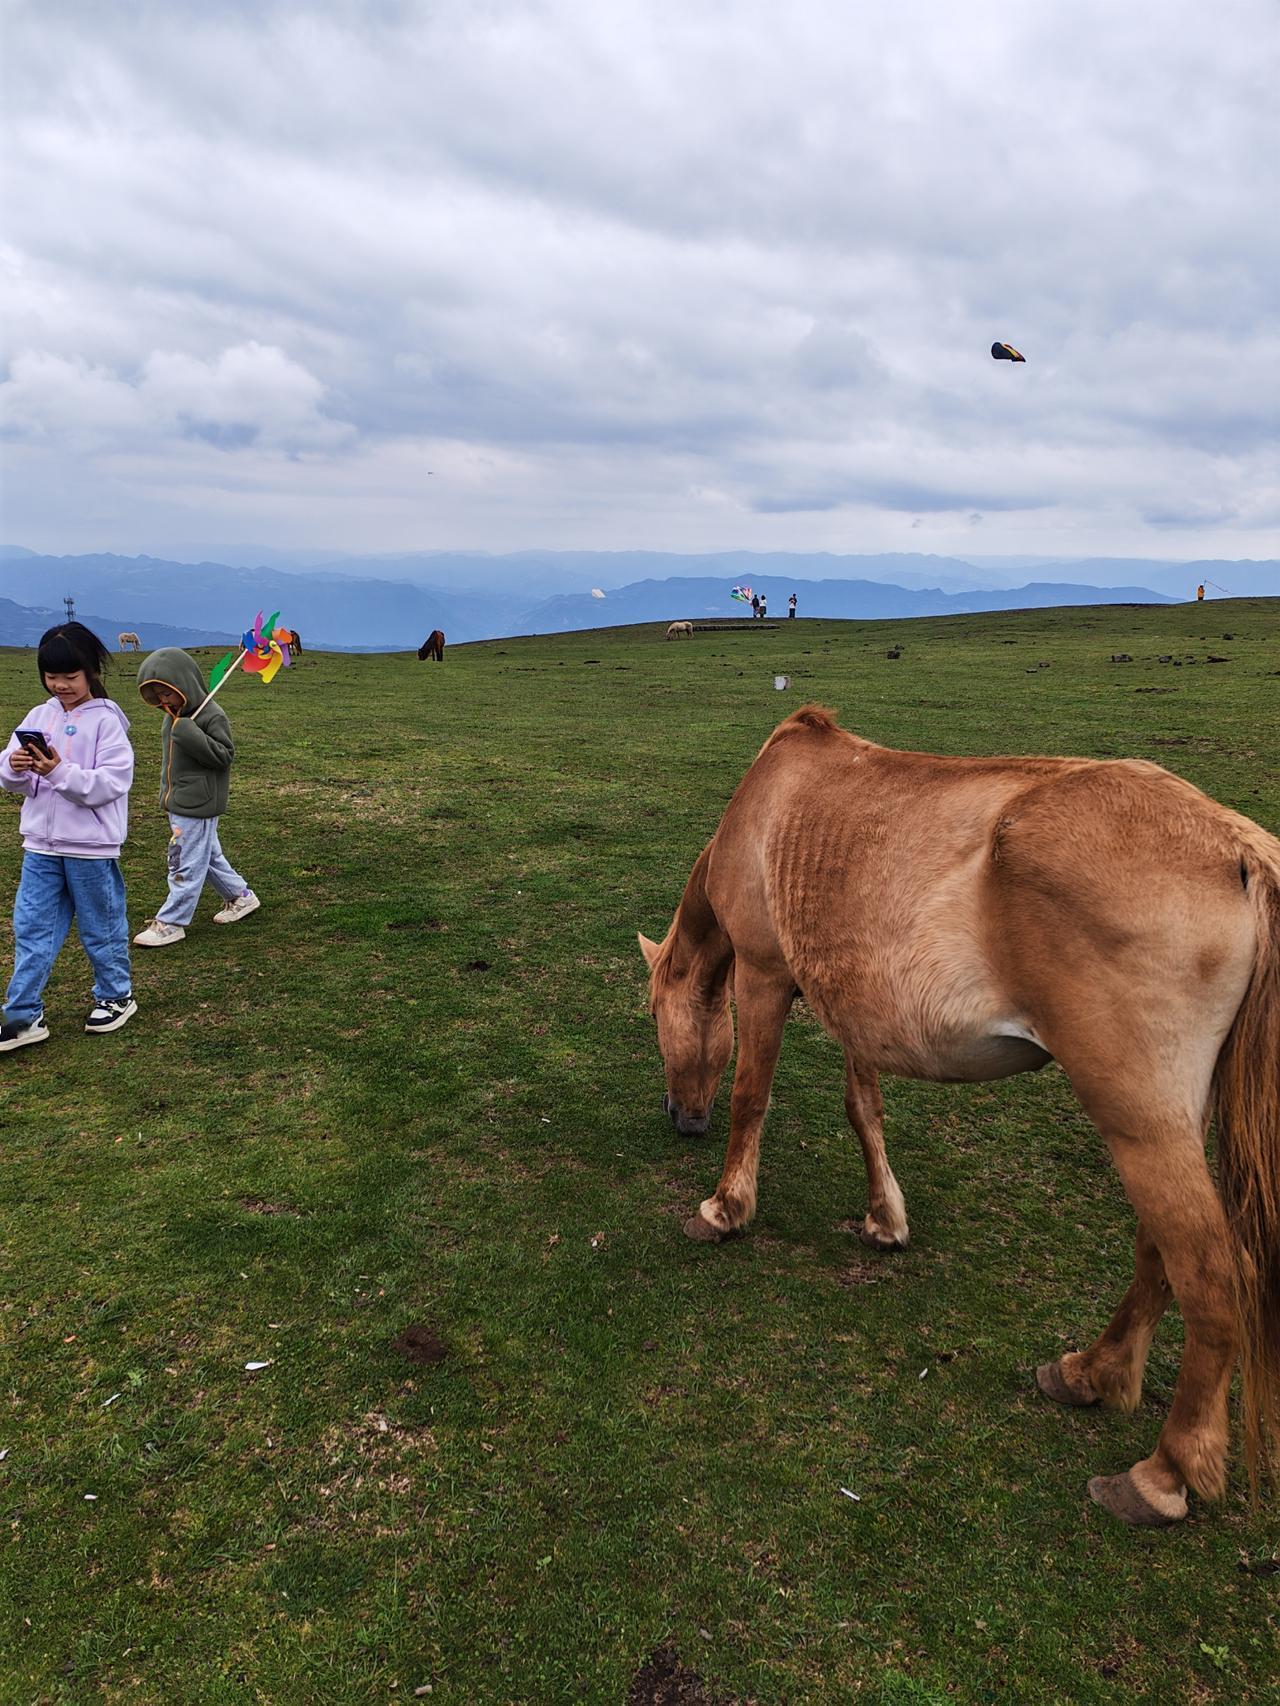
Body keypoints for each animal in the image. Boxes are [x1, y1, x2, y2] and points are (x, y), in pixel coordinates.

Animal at [639, 706, 1280, 1529]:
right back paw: (1090, 1372)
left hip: (1140, 1120)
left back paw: (1162, 1473)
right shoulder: (853, 1007)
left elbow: (754, 1097)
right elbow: (864, 1109)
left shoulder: (764, 976)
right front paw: (885, 1220)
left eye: (656, 1014)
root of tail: (1237, 849)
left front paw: (725, 1208)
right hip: (1169, 1122)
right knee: (1158, 1253)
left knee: (1209, 1274)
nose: (681, 1118)